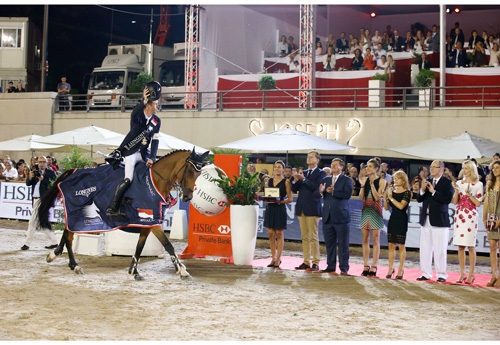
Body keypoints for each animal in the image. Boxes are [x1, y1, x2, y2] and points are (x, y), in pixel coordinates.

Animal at [36, 148, 209, 280]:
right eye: (190, 170)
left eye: (199, 174)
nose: (187, 197)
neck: (154, 181)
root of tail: (73, 171)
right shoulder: (151, 220)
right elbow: (168, 245)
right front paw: (182, 270)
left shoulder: (148, 221)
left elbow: (140, 246)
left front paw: (134, 270)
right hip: (77, 213)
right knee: (69, 236)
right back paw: (73, 264)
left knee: (67, 234)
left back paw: (60, 258)